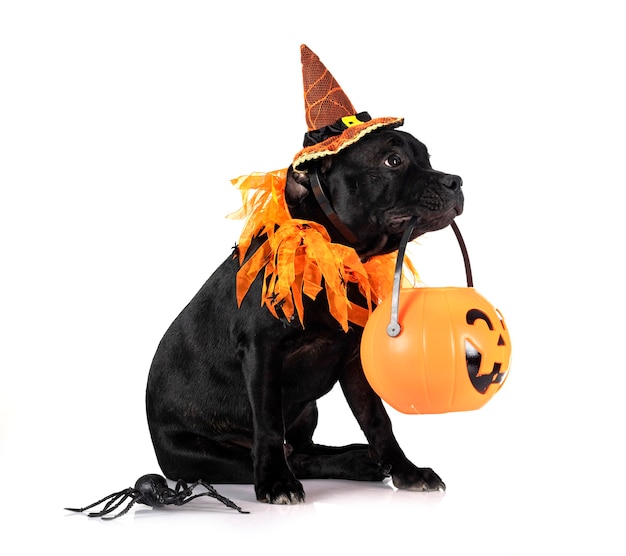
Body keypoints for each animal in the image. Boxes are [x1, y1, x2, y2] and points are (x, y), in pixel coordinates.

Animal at [144, 129, 460, 504]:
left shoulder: (354, 360)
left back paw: (360, 457)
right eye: (392, 161)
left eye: (427, 158)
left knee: (304, 449)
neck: (335, 256)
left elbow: (378, 421)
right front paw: (276, 482)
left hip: (308, 411)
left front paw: (407, 471)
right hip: (205, 456)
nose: (456, 181)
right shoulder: (262, 352)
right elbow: (268, 422)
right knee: (291, 456)